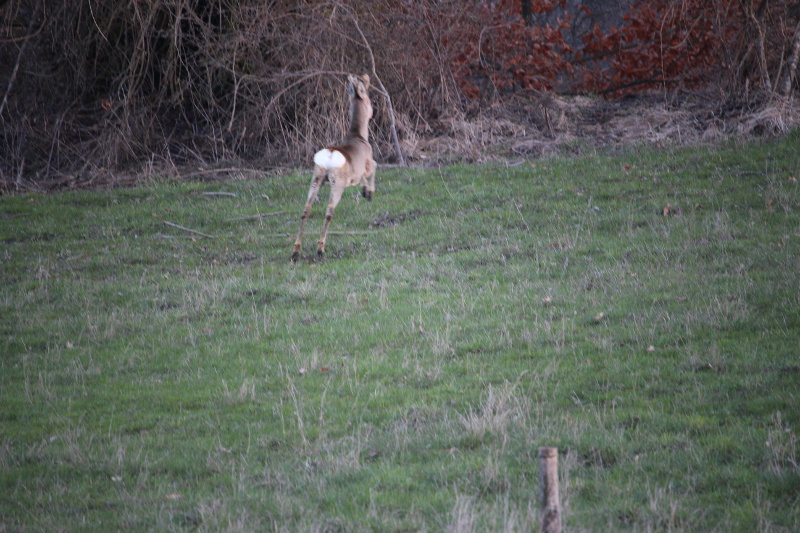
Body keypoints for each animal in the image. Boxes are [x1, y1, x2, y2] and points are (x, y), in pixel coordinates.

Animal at [291, 74, 377, 262]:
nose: (372, 112)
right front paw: (369, 193)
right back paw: (320, 249)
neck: (359, 136)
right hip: (337, 182)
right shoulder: (367, 162)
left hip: (316, 177)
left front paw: (365, 191)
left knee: (306, 209)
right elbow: (374, 167)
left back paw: (296, 251)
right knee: (329, 211)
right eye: (369, 100)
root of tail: (329, 156)